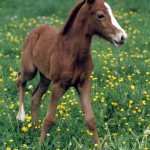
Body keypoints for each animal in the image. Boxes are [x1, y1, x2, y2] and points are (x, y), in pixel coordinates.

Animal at [16, 0, 126, 146]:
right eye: (100, 15)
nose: (122, 37)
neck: (72, 52)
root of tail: (36, 30)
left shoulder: (84, 83)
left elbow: (90, 119)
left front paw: (98, 145)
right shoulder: (58, 85)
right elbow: (49, 119)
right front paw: (39, 146)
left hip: (45, 77)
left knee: (36, 97)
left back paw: (34, 129)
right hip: (30, 69)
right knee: (20, 79)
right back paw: (21, 116)